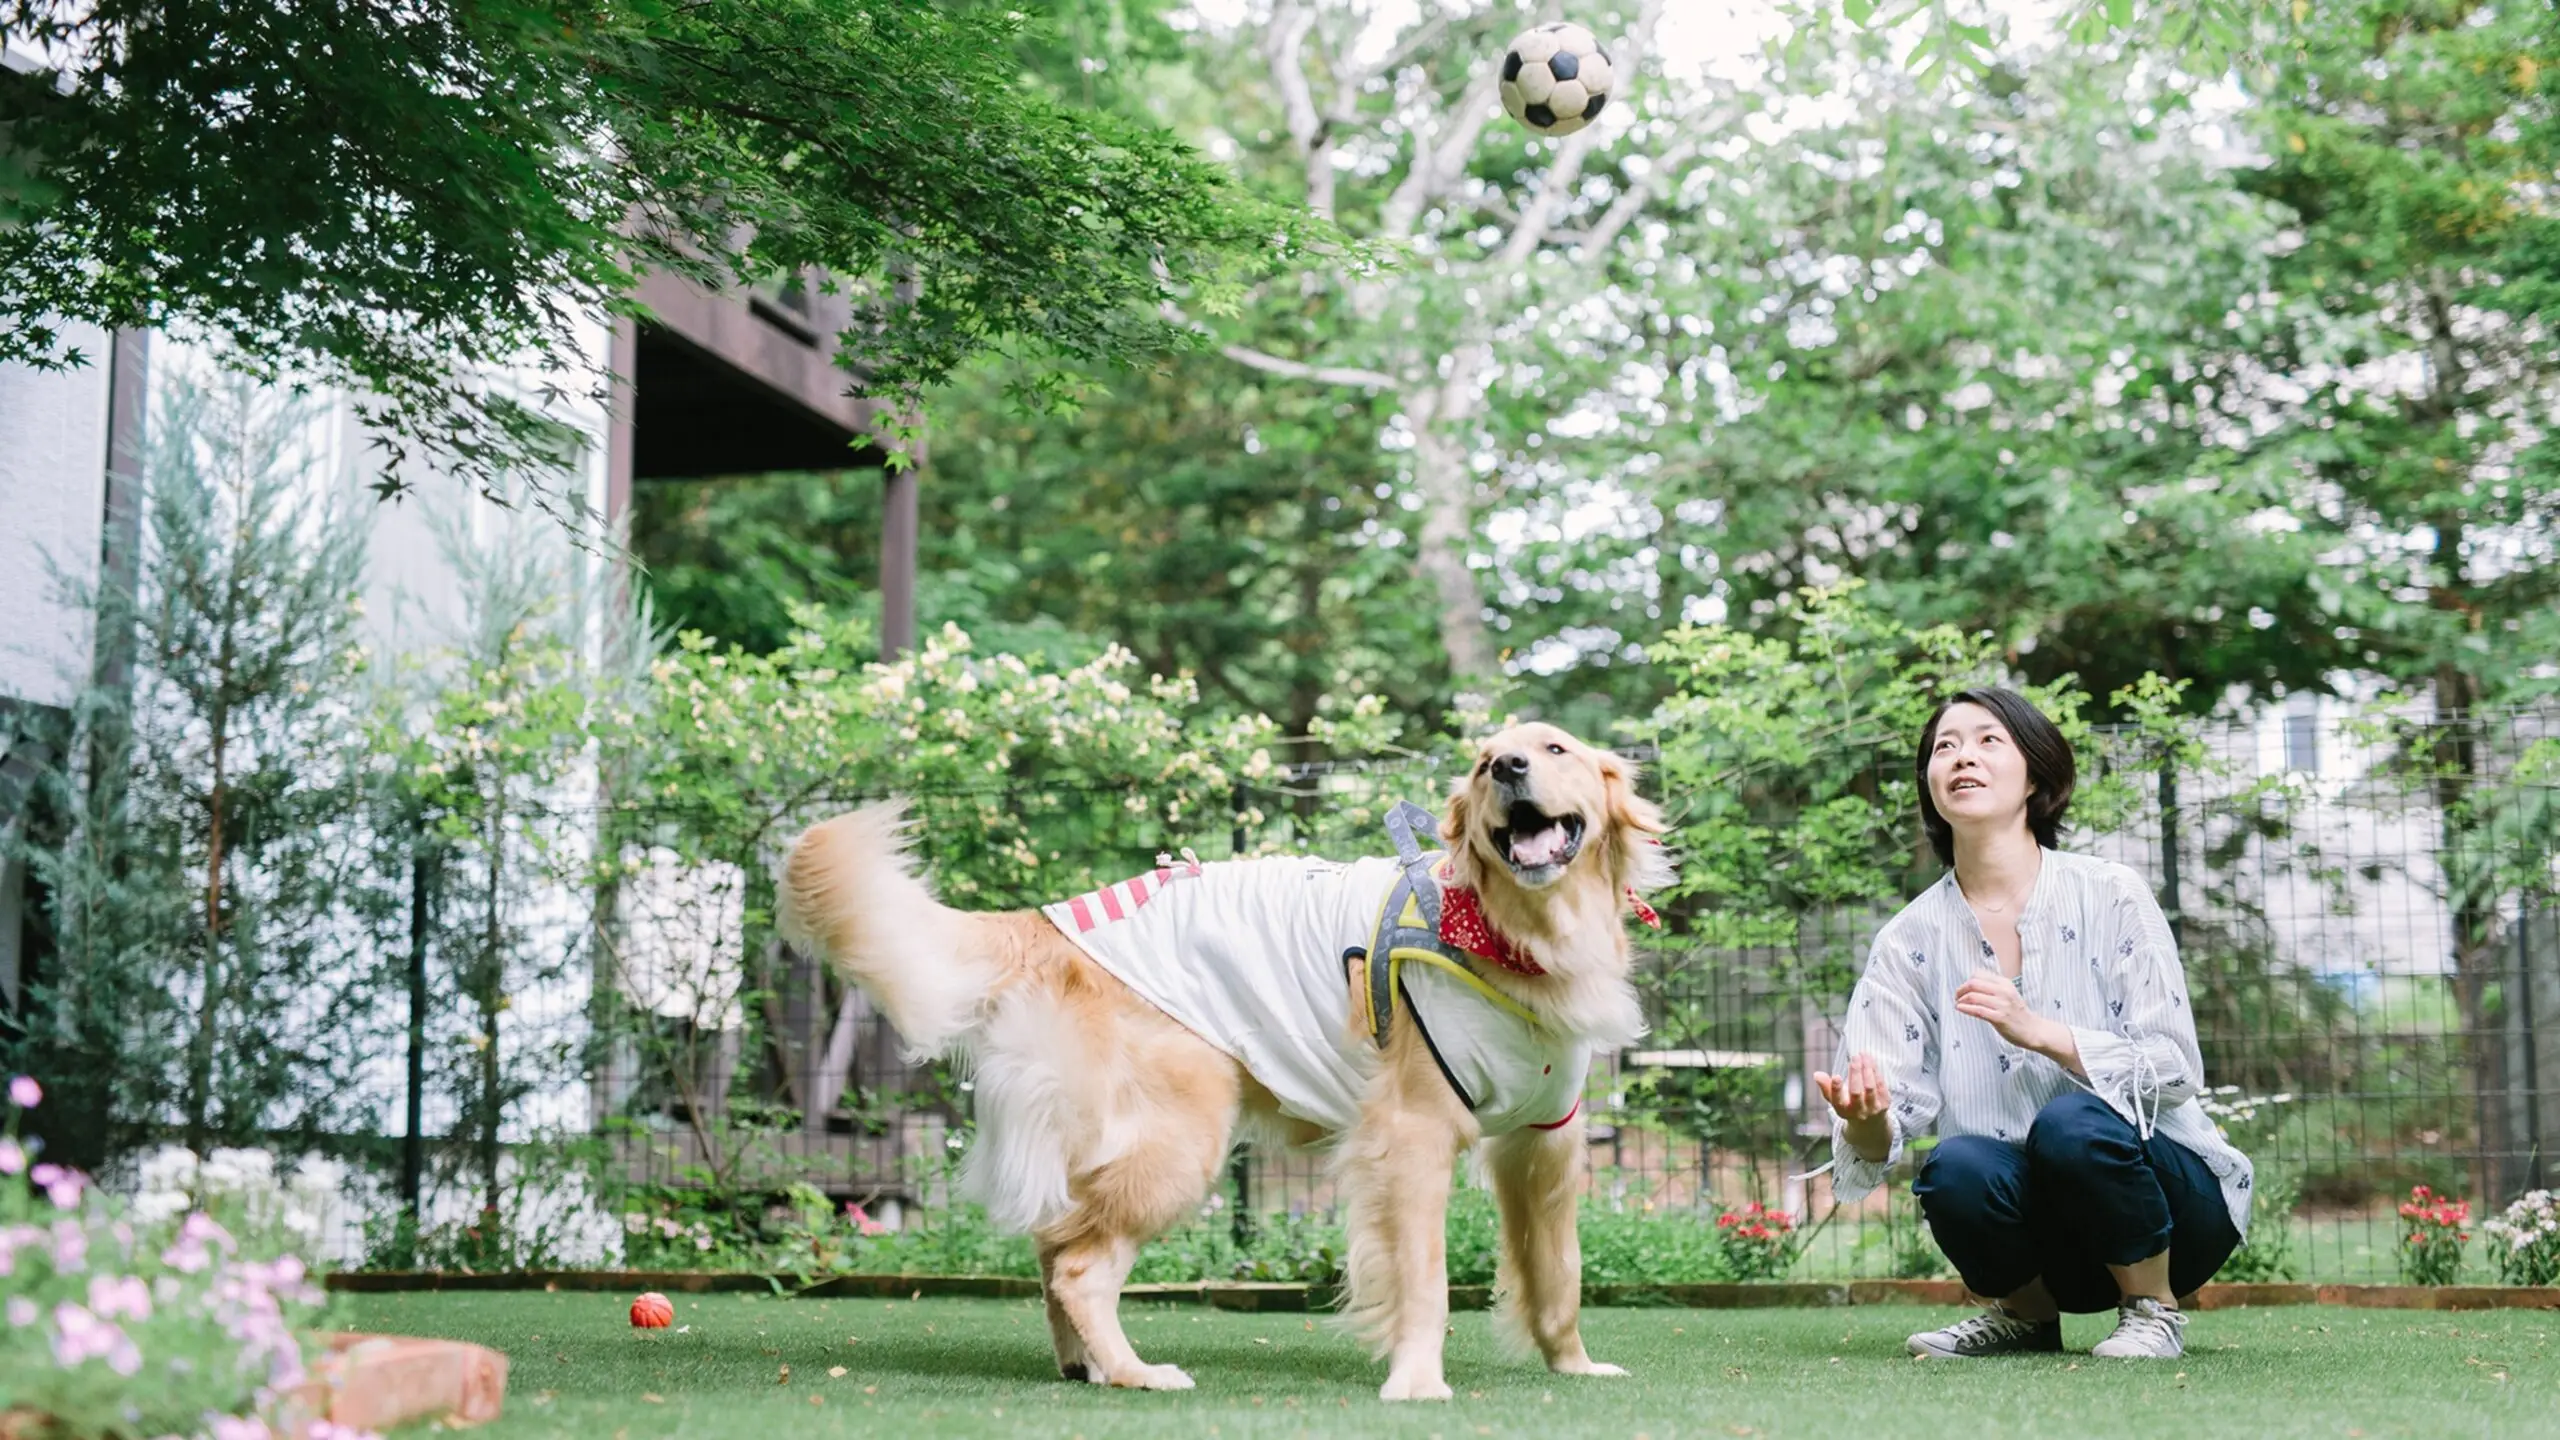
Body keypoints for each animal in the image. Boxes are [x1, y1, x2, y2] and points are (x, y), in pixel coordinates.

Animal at [768, 722, 1669, 1393]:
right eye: (1485, 765)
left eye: (1554, 749)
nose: (1511, 767)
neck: (1515, 933)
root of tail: (1045, 920)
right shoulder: (1411, 1134)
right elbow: (1426, 1276)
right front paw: (1417, 1382)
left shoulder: (1545, 1141)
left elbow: (1559, 1274)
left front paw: (1575, 1365)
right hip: (1181, 1137)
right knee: (1079, 1266)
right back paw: (1135, 1372)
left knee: (1054, 1244)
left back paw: (1086, 1365)